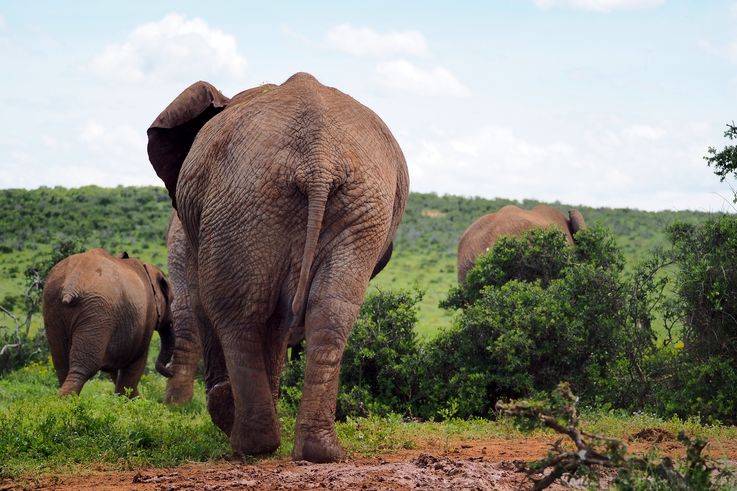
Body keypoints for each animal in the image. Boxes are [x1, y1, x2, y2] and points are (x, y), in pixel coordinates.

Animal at [42, 248, 175, 397]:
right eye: (171, 300)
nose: (171, 371)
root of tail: (72, 282)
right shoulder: (148, 316)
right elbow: (136, 361)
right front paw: (131, 399)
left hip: (52, 304)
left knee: (61, 365)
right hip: (97, 310)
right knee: (84, 367)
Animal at [146, 72, 408, 462]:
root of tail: (318, 157)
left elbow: (200, 299)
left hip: (245, 201)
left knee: (236, 311)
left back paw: (246, 438)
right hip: (354, 206)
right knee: (328, 312)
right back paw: (317, 451)